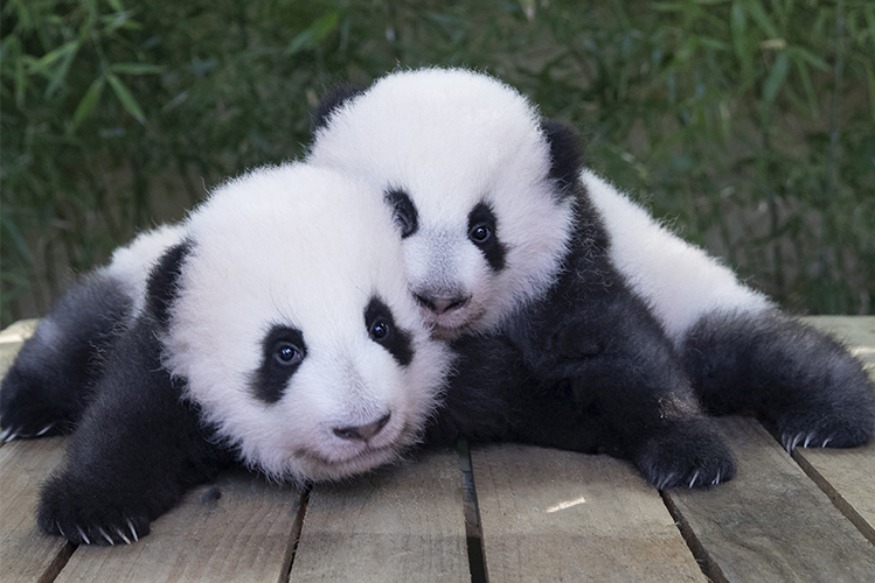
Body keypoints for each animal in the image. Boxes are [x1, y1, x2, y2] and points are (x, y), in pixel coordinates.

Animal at [3, 163, 452, 545]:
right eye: (285, 352)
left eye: (381, 327)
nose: (363, 427)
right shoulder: (170, 356)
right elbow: (127, 424)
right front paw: (92, 512)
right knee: (66, 341)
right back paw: (21, 413)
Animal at [307, 67, 875, 484]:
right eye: (400, 213)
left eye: (482, 229)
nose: (440, 298)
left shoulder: (566, 260)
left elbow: (616, 346)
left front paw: (690, 455)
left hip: (693, 293)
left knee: (761, 350)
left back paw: (834, 417)